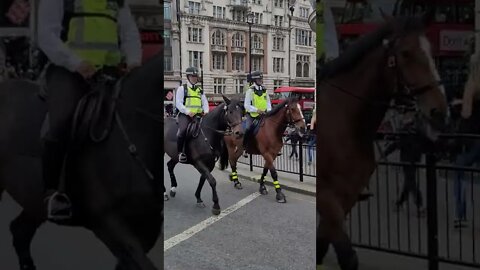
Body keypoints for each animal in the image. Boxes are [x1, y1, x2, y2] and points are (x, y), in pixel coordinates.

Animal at [316, 16, 448, 270]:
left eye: (430, 51)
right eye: (406, 53)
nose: (439, 111)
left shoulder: (347, 197)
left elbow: (322, 246)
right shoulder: (327, 196)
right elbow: (346, 256)